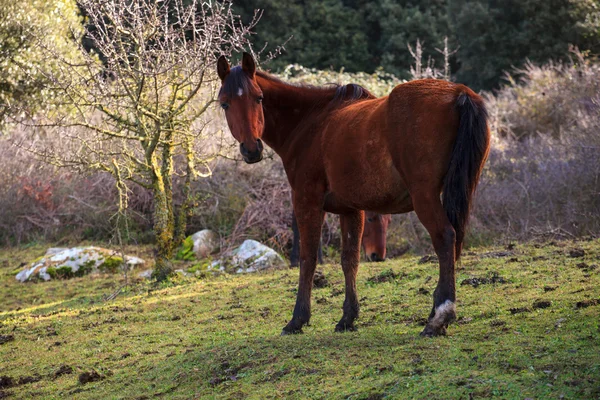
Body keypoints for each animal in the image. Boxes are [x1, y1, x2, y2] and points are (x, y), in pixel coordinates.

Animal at [218, 51, 490, 336]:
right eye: (225, 104)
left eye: (259, 98)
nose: (251, 149)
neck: (311, 122)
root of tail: (458, 93)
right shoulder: (351, 210)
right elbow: (350, 260)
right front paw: (348, 317)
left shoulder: (307, 201)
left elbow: (308, 258)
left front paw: (298, 319)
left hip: (424, 197)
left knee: (445, 237)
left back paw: (439, 317)